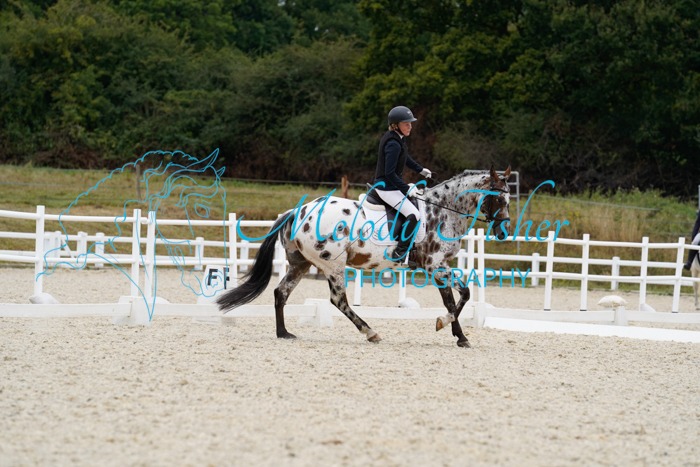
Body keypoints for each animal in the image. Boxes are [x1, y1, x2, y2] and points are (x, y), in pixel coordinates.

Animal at [217, 167, 512, 347]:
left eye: (508, 200)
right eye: (499, 199)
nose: (503, 232)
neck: (443, 211)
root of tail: (296, 211)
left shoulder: (441, 266)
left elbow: (457, 297)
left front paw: (457, 334)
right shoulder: (434, 265)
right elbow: (457, 298)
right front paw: (449, 327)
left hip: (301, 263)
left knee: (281, 292)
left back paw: (284, 333)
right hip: (332, 263)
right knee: (338, 300)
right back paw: (370, 332)